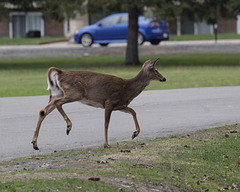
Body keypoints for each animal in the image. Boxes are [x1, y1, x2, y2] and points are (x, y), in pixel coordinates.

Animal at [31, 58, 166, 150]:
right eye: (156, 70)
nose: (163, 78)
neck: (127, 89)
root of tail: (60, 73)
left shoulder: (120, 105)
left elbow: (133, 111)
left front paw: (134, 134)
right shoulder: (109, 102)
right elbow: (106, 123)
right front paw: (106, 144)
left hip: (56, 93)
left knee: (43, 110)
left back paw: (35, 143)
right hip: (74, 93)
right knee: (57, 103)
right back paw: (68, 126)